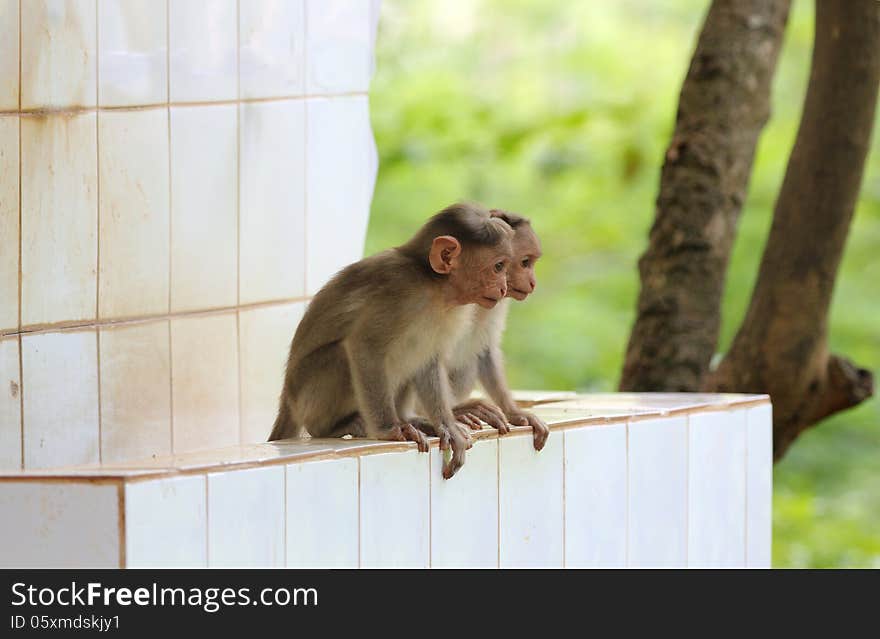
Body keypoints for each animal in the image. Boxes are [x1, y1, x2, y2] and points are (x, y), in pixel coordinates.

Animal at [268, 202, 516, 478]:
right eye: (499, 267)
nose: (504, 288)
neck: (433, 284)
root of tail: (287, 399)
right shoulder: (400, 292)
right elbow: (365, 346)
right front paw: (389, 430)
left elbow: (428, 359)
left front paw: (446, 427)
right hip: (307, 395)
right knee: (342, 356)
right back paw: (334, 428)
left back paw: (412, 419)